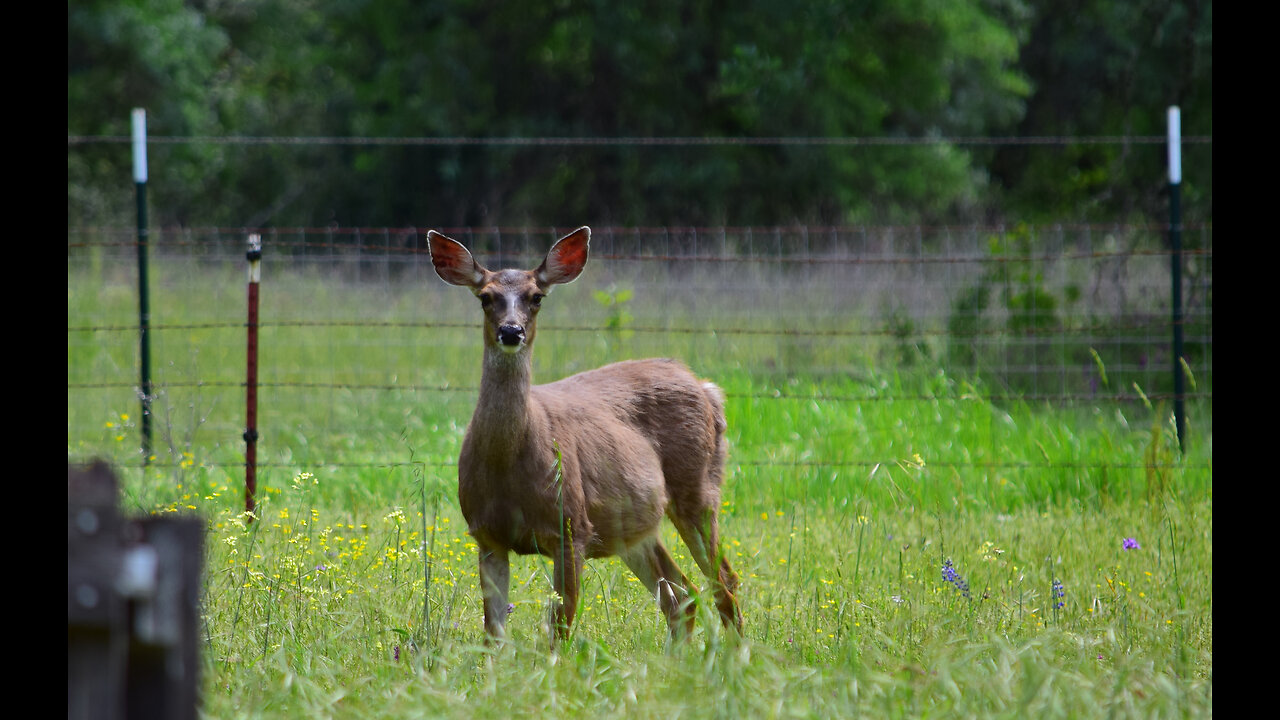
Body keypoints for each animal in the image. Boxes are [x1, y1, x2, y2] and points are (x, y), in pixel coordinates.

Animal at [427, 226, 742, 640]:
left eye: (536, 296)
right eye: (485, 298)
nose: (511, 331)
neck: (507, 464)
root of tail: (707, 388)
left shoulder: (570, 527)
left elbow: (559, 627)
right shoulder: (487, 536)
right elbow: (493, 633)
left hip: (698, 489)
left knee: (724, 581)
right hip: (633, 526)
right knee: (682, 595)